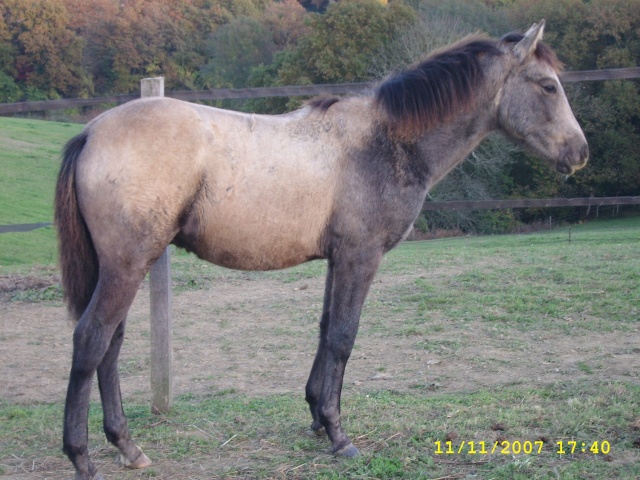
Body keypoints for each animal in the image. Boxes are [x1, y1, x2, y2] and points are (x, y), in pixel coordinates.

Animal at [55, 21, 588, 479]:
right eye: (547, 86)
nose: (580, 153)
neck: (386, 140)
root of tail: (91, 132)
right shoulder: (360, 257)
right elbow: (343, 337)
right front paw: (337, 433)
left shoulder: (338, 259)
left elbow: (325, 329)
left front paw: (315, 416)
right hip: (128, 265)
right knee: (91, 339)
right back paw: (83, 456)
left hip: (121, 266)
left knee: (110, 344)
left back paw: (127, 446)